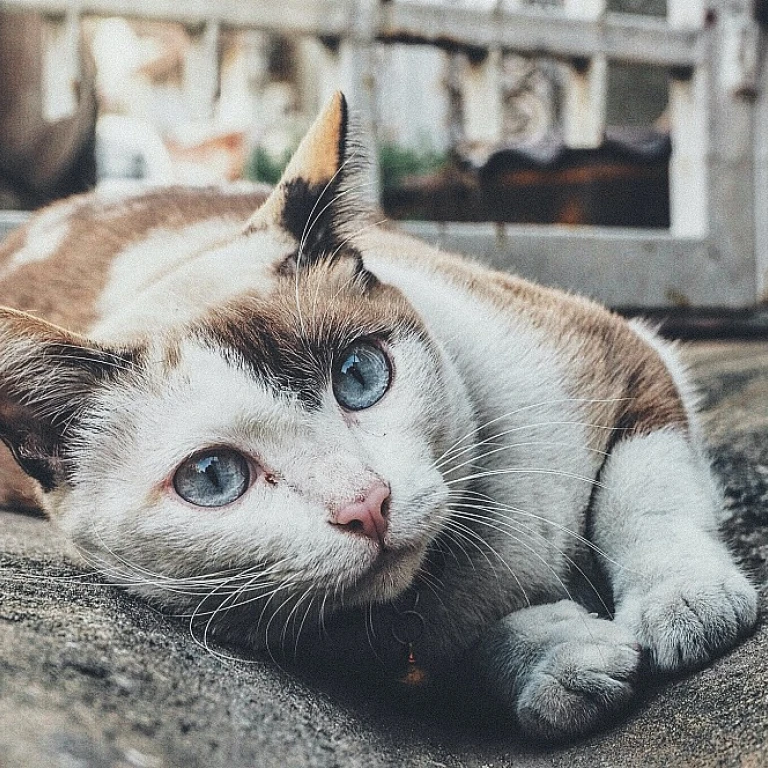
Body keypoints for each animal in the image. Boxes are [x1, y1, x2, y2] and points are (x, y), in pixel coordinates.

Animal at [0, 91, 756, 744]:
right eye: (212, 477)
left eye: (359, 376)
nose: (366, 505)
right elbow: (460, 650)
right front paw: (557, 663)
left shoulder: (619, 351)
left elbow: (643, 494)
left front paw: (684, 601)